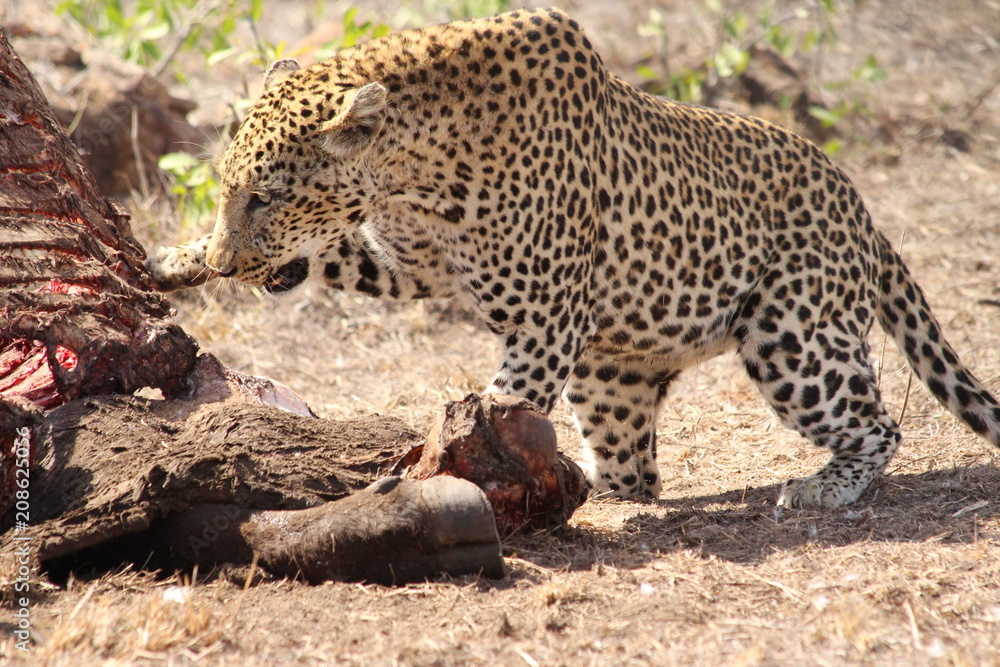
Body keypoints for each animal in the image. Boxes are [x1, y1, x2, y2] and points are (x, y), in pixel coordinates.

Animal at [147, 8, 1000, 508]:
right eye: (227, 192)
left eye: (267, 196)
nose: (228, 262)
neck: (411, 173)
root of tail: (863, 212)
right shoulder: (415, 265)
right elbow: (341, 258)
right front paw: (173, 261)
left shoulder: (543, 324)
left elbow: (499, 409)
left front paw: (431, 473)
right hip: (613, 373)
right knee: (638, 469)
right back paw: (608, 491)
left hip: (795, 340)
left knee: (878, 423)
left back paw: (825, 489)